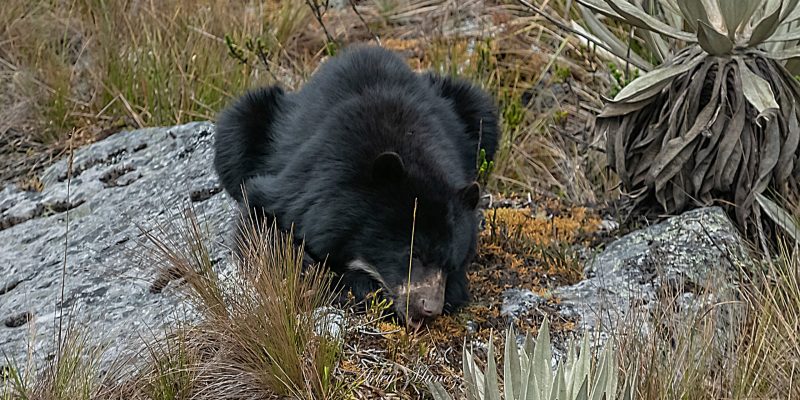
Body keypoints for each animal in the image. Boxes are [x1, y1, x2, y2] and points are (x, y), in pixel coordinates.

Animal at [212, 44, 500, 328]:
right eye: (414, 254)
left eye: (450, 264)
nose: (429, 308)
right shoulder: (310, 186)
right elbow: (262, 220)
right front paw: (318, 272)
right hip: (249, 119)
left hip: (477, 107)